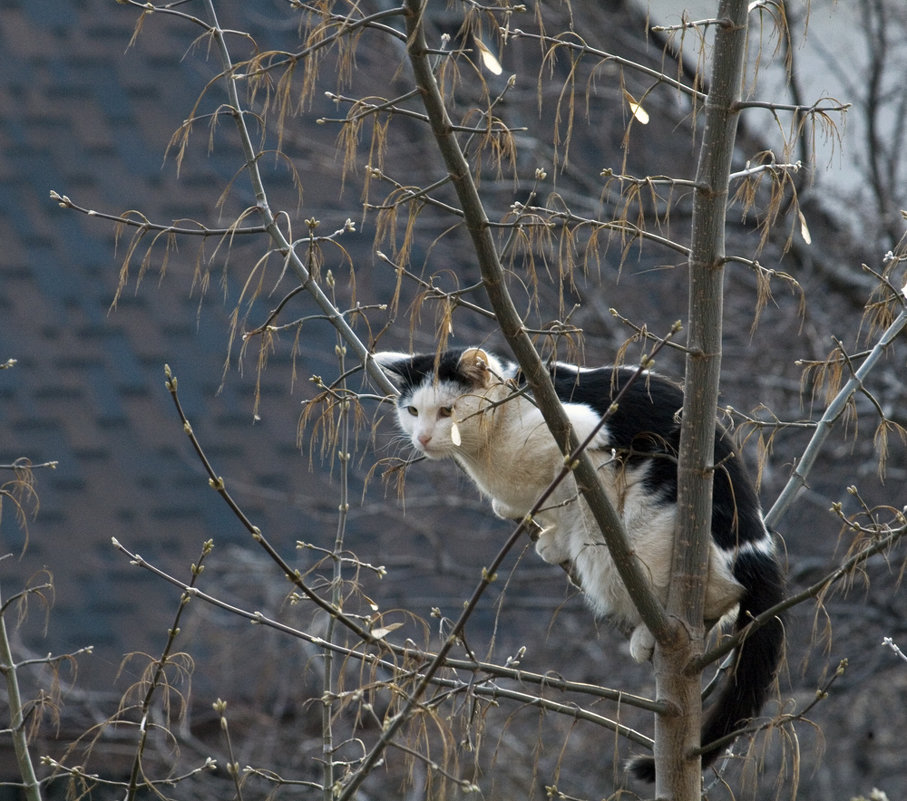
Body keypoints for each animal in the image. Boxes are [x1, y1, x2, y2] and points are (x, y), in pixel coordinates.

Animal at [376, 346, 788, 780]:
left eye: (446, 411)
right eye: (412, 410)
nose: (422, 437)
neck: (489, 447)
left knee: (712, 592)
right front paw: (538, 529)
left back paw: (651, 633)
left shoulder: (582, 445)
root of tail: (757, 546)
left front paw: (556, 536)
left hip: (647, 525)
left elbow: (572, 502)